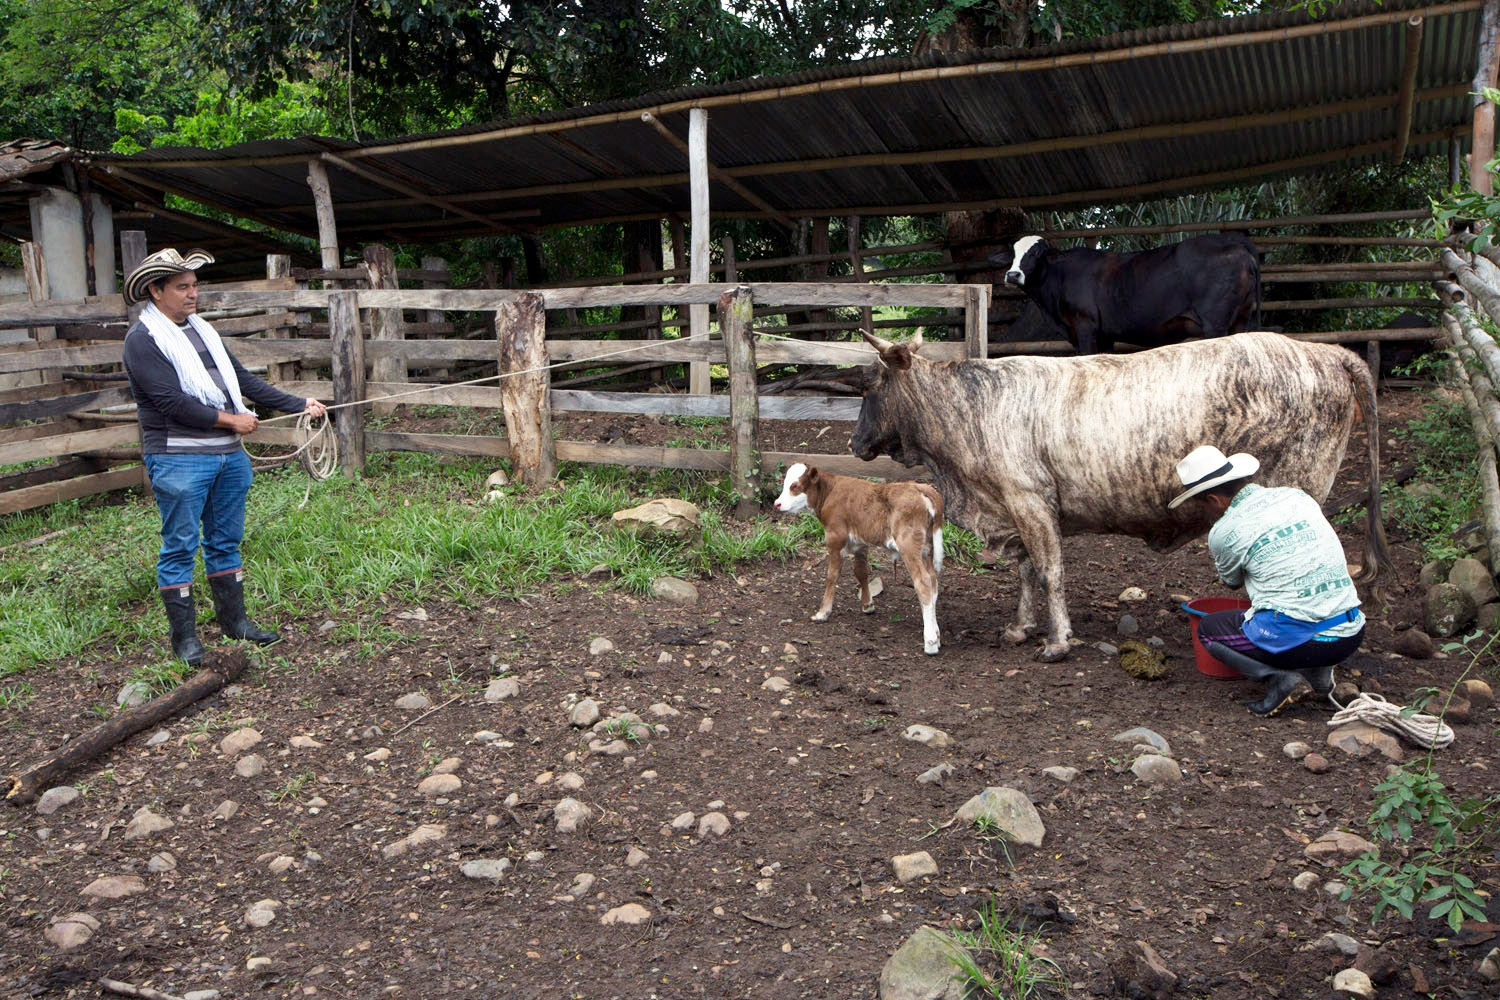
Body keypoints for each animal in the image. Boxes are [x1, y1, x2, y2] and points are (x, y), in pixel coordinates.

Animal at [774, 464, 948, 656]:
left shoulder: (835, 538)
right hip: (927, 549)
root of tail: (920, 487)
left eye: (795, 486)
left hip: (909, 545)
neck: (830, 491)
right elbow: (861, 572)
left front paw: (823, 612)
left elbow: (831, 576)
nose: (777, 504)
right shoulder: (860, 543)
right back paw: (937, 635)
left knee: (923, 582)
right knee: (933, 581)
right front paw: (867, 605)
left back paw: (930, 642)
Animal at [852, 328, 1386, 659]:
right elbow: (1026, 571)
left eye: (870, 385)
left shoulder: (1030, 500)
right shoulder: (1013, 507)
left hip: (1297, 487)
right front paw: (1021, 628)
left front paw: (1058, 641)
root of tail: (1327, 353)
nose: (855, 444)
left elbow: (1049, 572)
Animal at [990, 232, 1260, 353]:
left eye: (1036, 252)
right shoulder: (1104, 336)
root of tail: (1236, 243)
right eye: (1012, 254)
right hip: (1240, 319)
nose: (1013, 274)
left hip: (1215, 324)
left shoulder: (1084, 326)